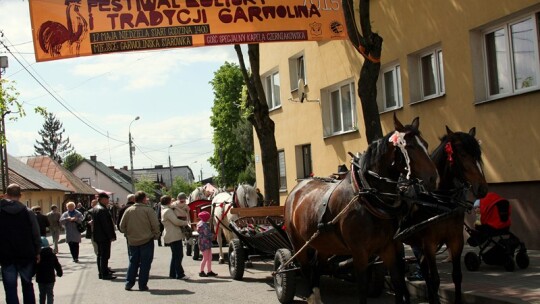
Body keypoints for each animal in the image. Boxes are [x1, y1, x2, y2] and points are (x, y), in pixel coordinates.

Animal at [284, 114, 436, 304]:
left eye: (426, 144)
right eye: (410, 146)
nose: (433, 178)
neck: (368, 197)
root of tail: (297, 189)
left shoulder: (388, 248)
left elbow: (399, 284)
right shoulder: (359, 253)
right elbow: (362, 290)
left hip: (325, 243)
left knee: (317, 267)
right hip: (299, 244)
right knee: (305, 268)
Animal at [402, 126, 488, 304]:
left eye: (478, 155)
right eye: (462, 154)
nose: (482, 188)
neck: (440, 200)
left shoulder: (455, 239)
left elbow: (457, 276)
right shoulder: (429, 243)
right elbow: (435, 279)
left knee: (422, 269)